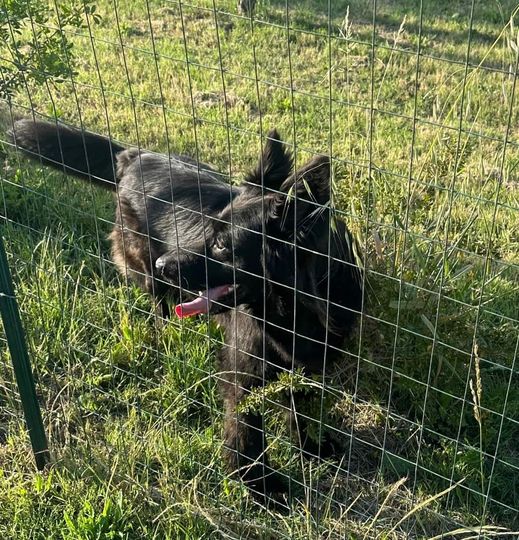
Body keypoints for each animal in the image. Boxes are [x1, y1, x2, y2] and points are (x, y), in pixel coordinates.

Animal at [10, 117, 364, 502]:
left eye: (222, 245)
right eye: (209, 231)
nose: (165, 263)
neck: (294, 310)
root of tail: (134, 155)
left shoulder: (308, 364)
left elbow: (301, 409)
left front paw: (310, 447)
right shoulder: (241, 373)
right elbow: (246, 430)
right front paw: (259, 485)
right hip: (148, 274)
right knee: (159, 307)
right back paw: (167, 336)